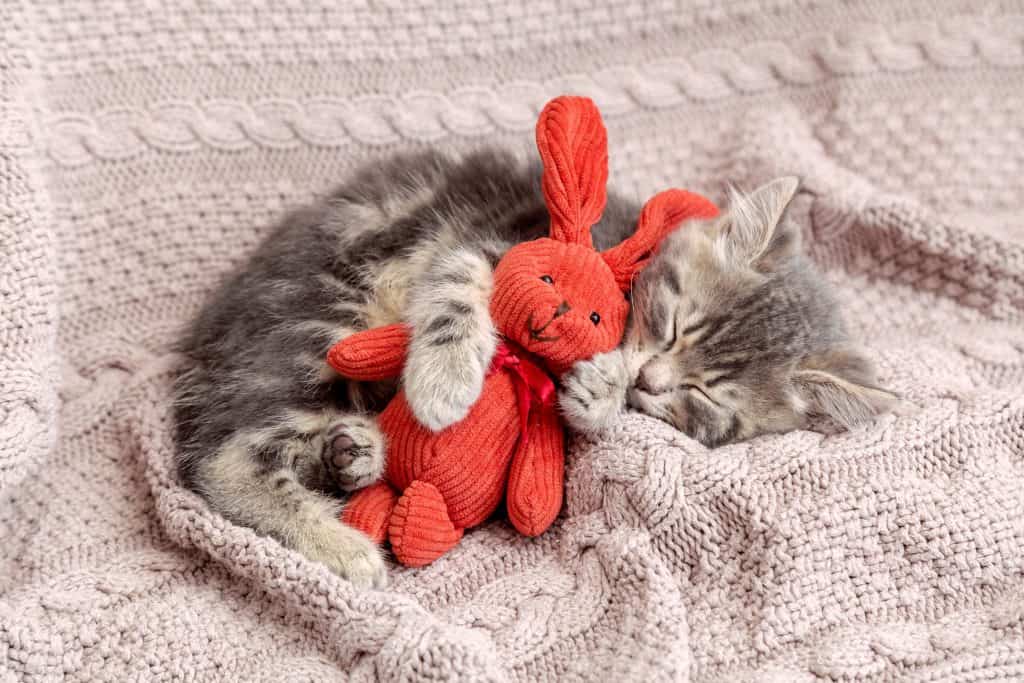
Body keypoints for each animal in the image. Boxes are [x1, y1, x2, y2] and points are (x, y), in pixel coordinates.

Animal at [176, 149, 638, 589]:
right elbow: (459, 283)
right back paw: (344, 548)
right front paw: (445, 378)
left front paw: (599, 389)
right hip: (324, 321)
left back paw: (352, 453)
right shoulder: (506, 248)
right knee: (226, 461)